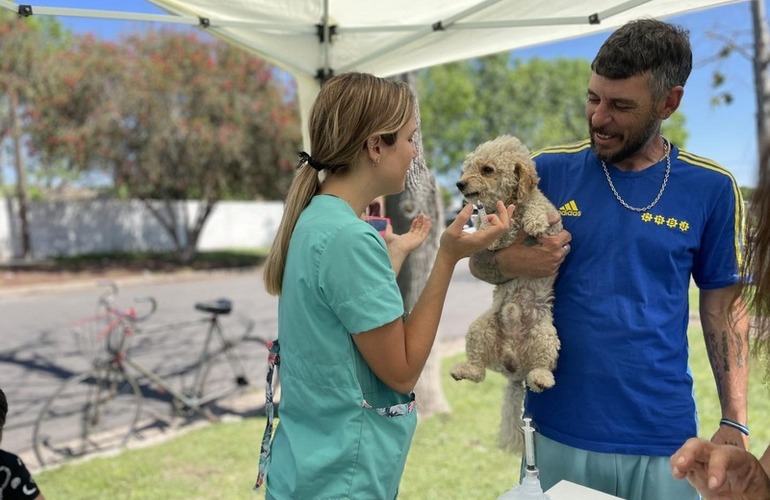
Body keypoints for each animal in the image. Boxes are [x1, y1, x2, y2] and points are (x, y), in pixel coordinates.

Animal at [448, 133, 560, 454]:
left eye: (487, 169)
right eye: (468, 167)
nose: (459, 184)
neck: (510, 204)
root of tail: (514, 369)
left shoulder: (555, 222)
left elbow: (536, 205)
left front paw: (533, 221)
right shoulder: (485, 226)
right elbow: (490, 226)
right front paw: (500, 229)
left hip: (546, 336)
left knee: (542, 368)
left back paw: (541, 378)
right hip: (479, 330)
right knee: (479, 371)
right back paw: (463, 370)